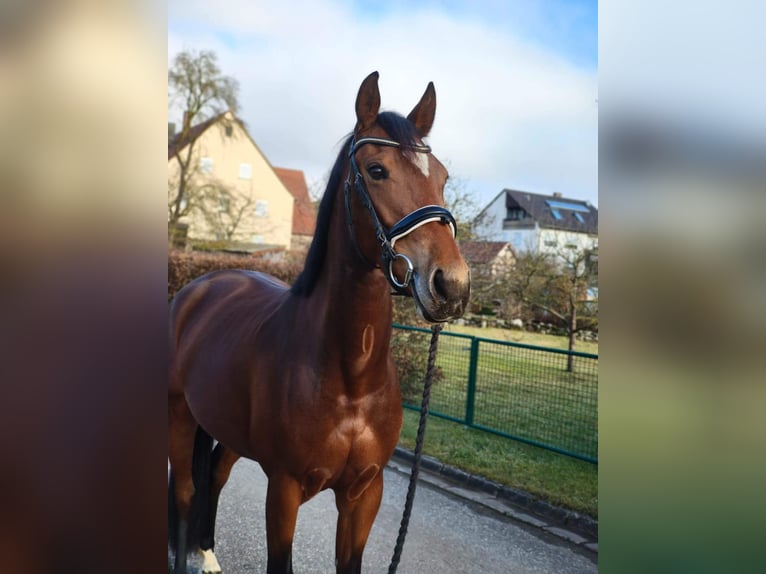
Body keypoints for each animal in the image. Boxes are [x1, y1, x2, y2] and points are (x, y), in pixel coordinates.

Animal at [168, 71, 471, 574]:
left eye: (442, 177)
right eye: (376, 170)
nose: (452, 284)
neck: (351, 378)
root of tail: (199, 287)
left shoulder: (364, 494)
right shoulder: (284, 489)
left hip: (226, 429)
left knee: (214, 475)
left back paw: (206, 553)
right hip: (179, 417)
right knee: (185, 492)